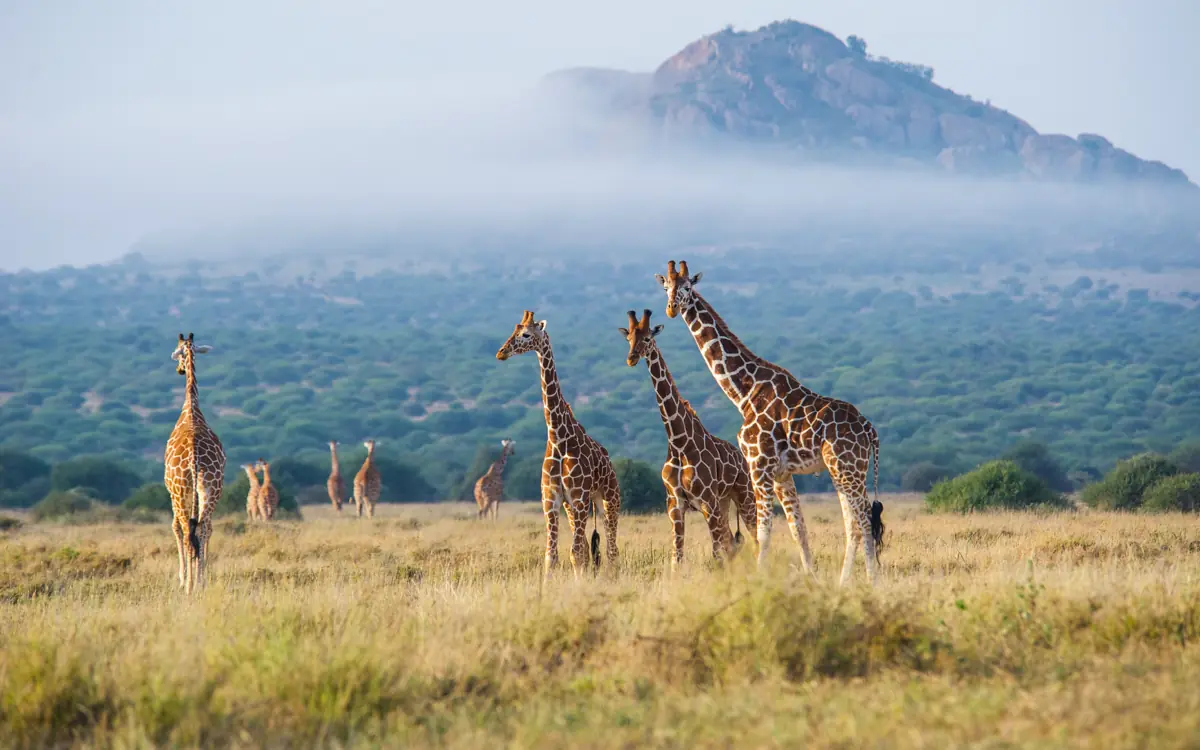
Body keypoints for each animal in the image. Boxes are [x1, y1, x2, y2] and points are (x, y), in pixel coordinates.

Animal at [496, 310, 621, 578]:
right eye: (514, 329)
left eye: (526, 334)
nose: (501, 352)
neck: (558, 437)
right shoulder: (551, 500)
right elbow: (552, 555)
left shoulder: (579, 498)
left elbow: (576, 553)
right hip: (573, 508)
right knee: (590, 547)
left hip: (608, 499)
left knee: (611, 548)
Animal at [619, 309, 757, 568]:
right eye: (629, 338)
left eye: (647, 338)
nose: (631, 359)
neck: (678, 441)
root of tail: (741, 459)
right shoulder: (675, 504)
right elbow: (677, 556)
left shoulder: (706, 501)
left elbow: (716, 555)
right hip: (723, 503)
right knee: (731, 544)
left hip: (744, 495)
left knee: (754, 538)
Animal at [656, 261, 885, 585]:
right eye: (666, 287)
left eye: (688, 286)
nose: (672, 308)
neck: (744, 392)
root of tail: (870, 430)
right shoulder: (781, 473)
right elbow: (797, 529)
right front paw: (811, 579)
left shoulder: (759, 464)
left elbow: (763, 532)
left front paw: (759, 582)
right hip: (845, 471)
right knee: (853, 523)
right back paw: (844, 583)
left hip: (848, 469)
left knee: (864, 520)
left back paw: (872, 582)